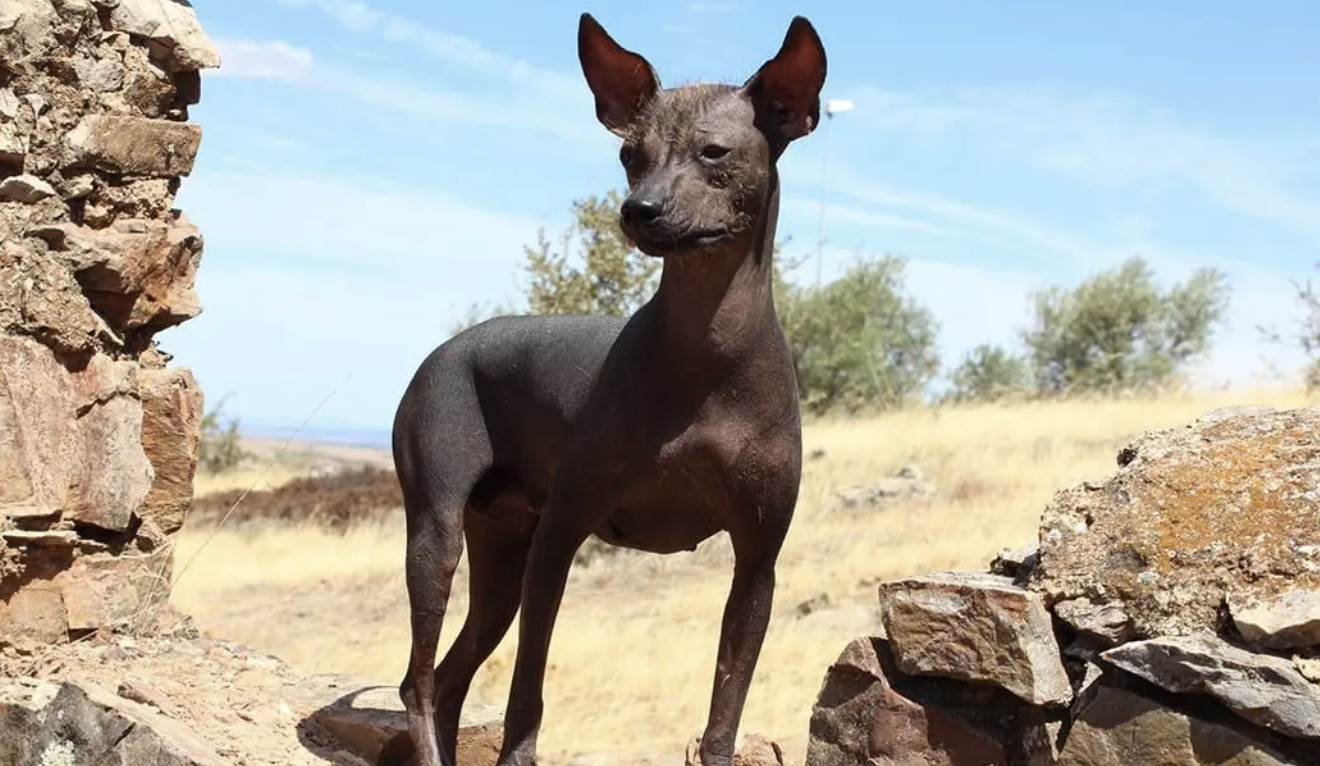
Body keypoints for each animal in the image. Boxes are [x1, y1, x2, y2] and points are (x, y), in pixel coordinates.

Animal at [388, 11, 823, 766]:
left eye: (713, 152)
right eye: (629, 155)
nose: (639, 209)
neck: (708, 352)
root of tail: (447, 349)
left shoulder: (757, 566)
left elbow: (724, 713)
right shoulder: (560, 538)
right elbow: (526, 693)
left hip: (501, 557)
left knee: (446, 678)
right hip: (438, 534)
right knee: (417, 682)